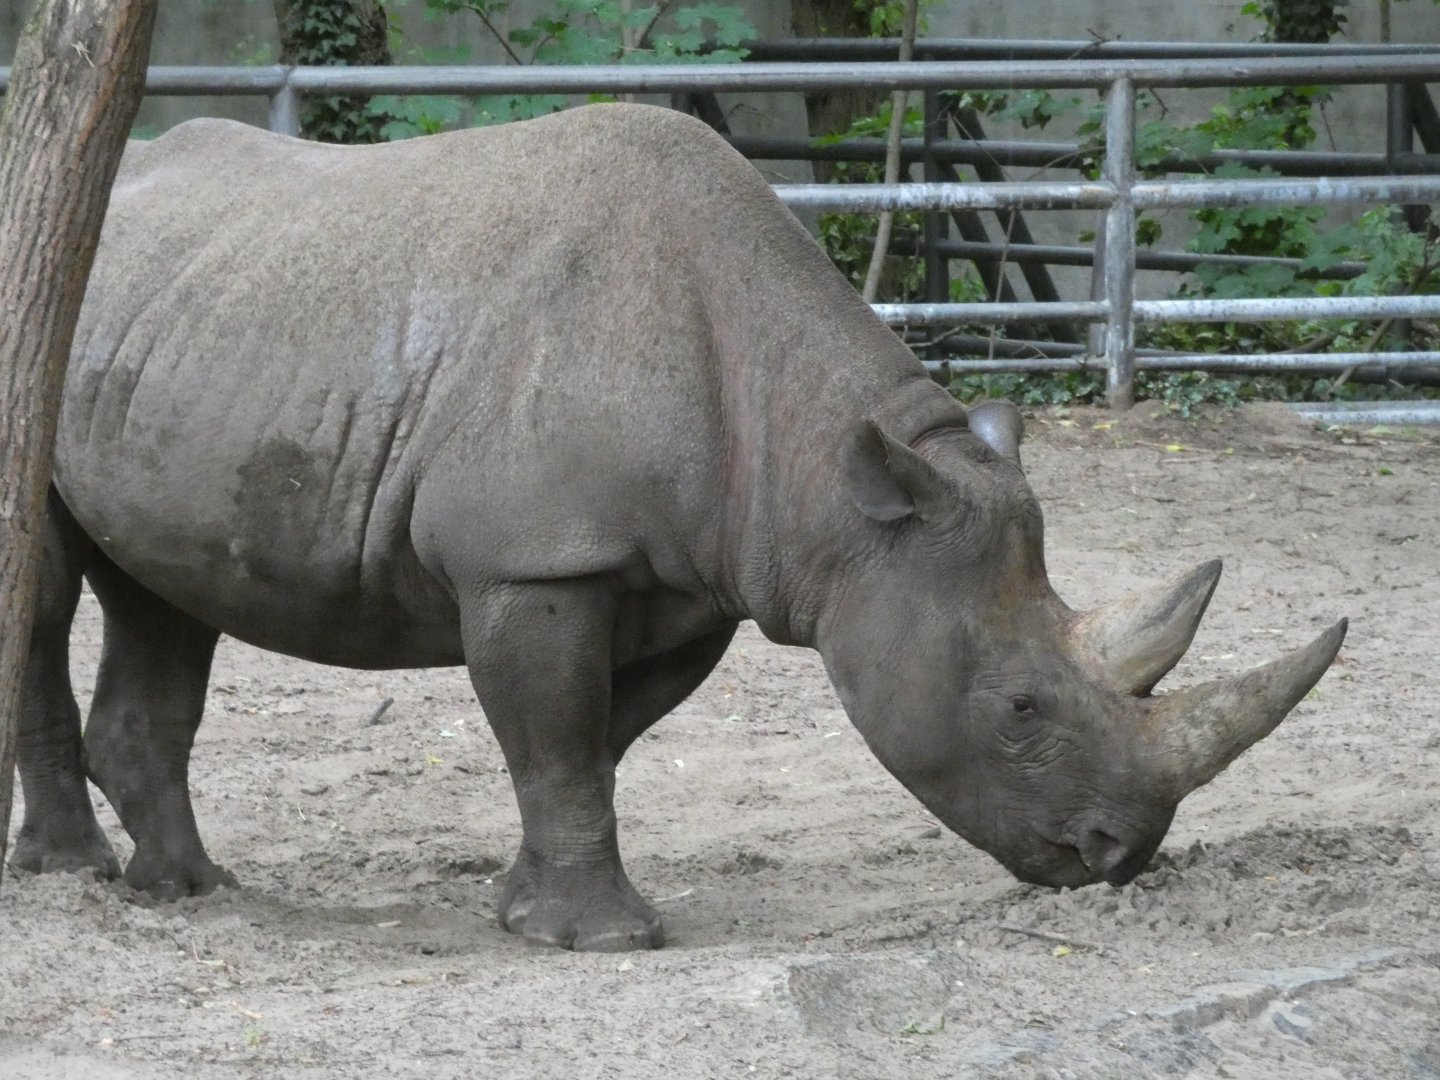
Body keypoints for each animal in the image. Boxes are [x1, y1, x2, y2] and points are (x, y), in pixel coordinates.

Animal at [13, 105, 1345, 951]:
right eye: (1020, 709)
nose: (1119, 855)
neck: (832, 476)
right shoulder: (536, 558)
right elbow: (556, 743)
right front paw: (600, 943)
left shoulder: (696, 578)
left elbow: (592, 742)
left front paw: (516, 905)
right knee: (43, 584)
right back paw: (76, 880)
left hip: (177, 335)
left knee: (161, 594)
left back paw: (190, 891)